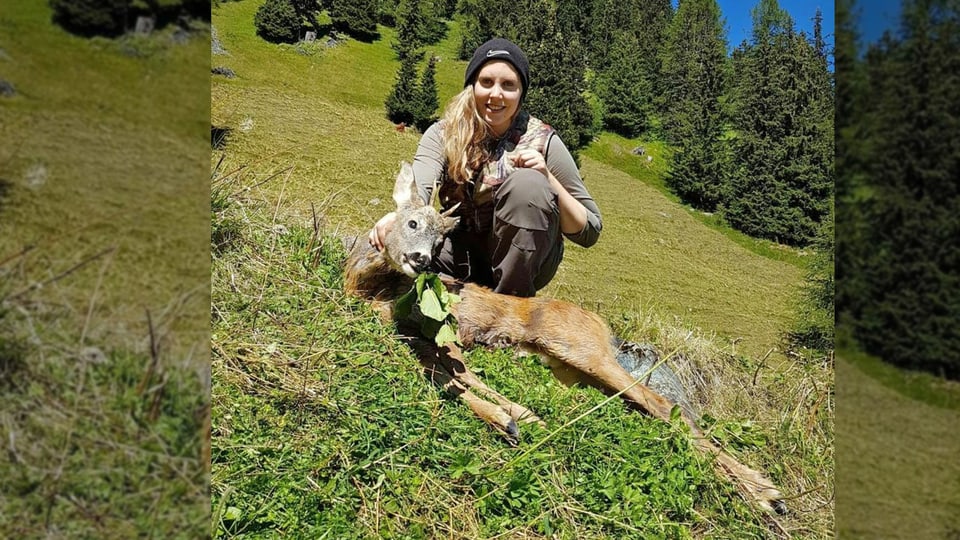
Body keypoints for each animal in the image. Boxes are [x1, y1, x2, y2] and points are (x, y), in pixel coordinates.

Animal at [344, 160, 788, 516]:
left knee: (661, 404)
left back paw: (767, 493)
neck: (371, 287)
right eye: (412, 223)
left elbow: (456, 374)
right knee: (643, 407)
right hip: (567, 370)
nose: (421, 260)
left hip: (582, 348)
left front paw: (515, 417)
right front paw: (514, 417)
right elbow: (442, 375)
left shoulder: (444, 330)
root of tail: (602, 325)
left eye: (440, 240)